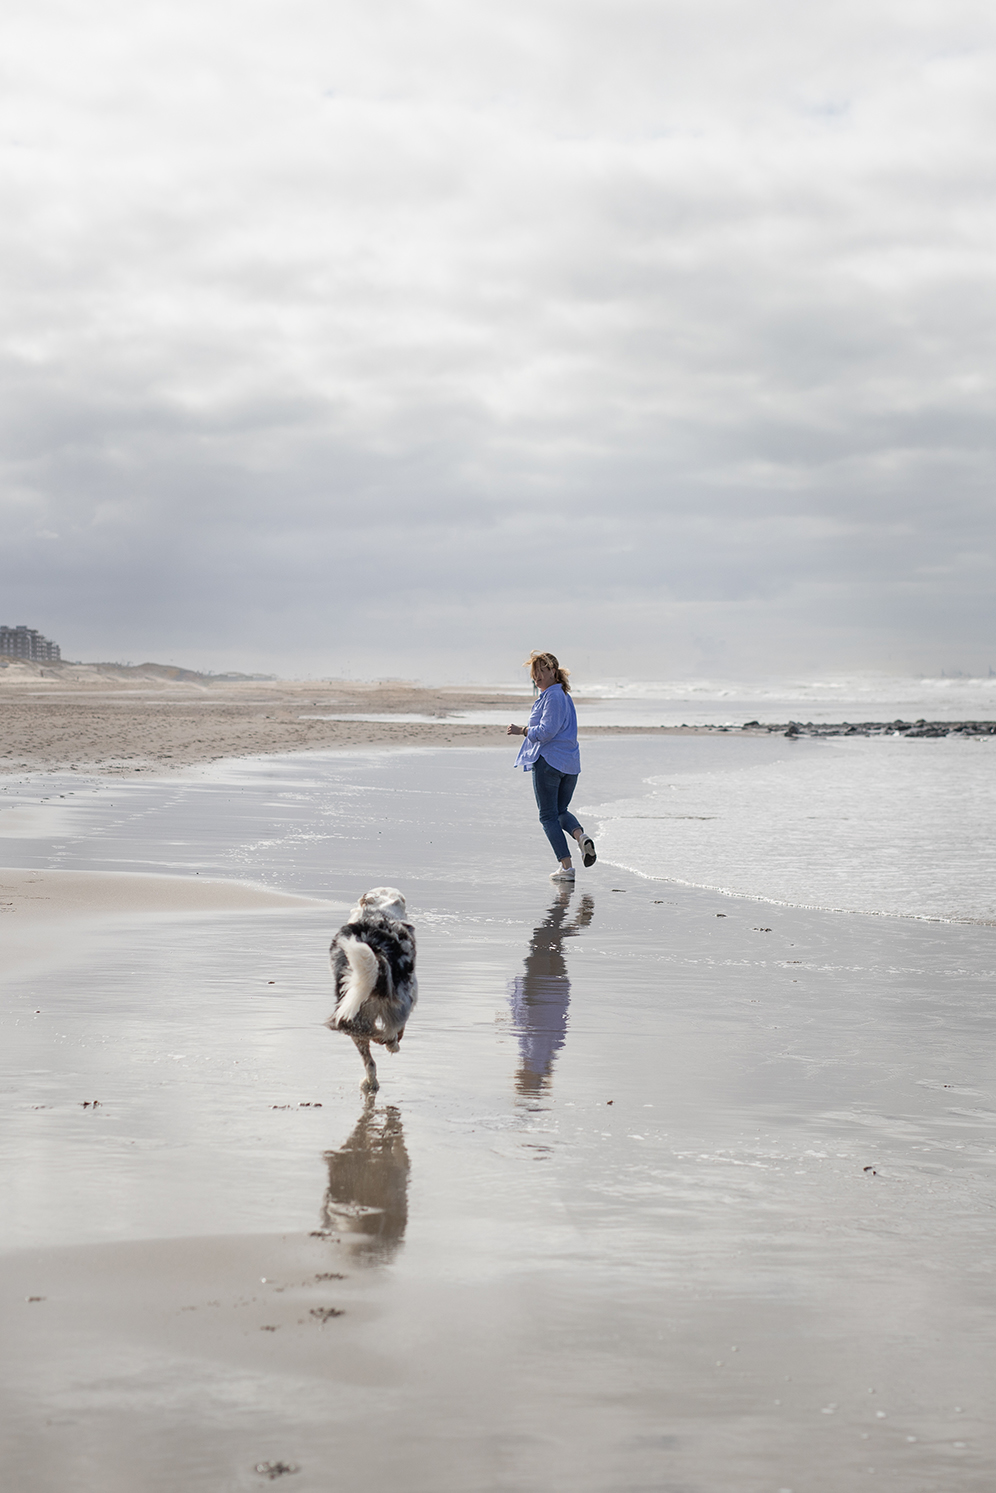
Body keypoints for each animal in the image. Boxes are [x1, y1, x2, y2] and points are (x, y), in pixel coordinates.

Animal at [327, 877, 418, 1092]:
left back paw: (370, 1083)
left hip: (352, 1008)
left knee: (368, 1057)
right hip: (401, 1003)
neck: (378, 914)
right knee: (390, 1033)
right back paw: (389, 1043)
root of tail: (373, 946)